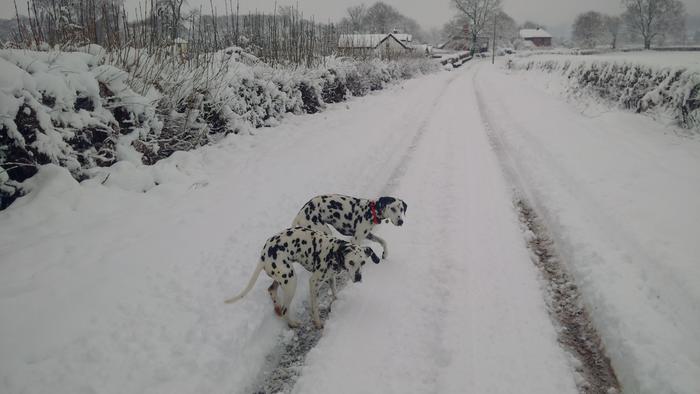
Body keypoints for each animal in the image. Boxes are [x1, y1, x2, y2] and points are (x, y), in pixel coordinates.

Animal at [223, 225, 378, 330]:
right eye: (351, 262)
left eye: (363, 262)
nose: (358, 277)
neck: (334, 251)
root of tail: (263, 255)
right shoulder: (314, 282)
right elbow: (314, 307)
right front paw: (317, 323)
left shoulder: (331, 277)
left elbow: (334, 293)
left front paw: (336, 302)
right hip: (291, 281)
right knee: (285, 309)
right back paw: (292, 323)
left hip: (282, 277)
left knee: (271, 290)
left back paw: (277, 307)